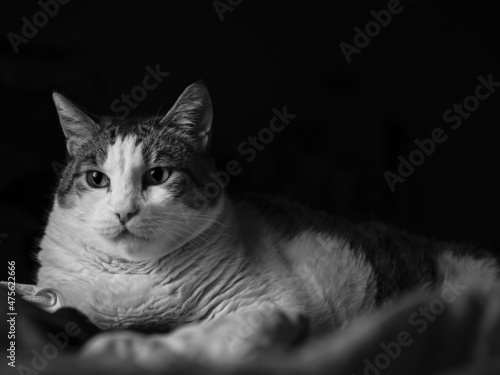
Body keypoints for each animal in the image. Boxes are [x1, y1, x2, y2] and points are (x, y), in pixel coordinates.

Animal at [32, 83, 500, 364]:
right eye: (97, 180)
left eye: (158, 175)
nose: (124, 212)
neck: (133, 283)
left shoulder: (268, 306)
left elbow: (207, 336)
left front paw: (129, 349)